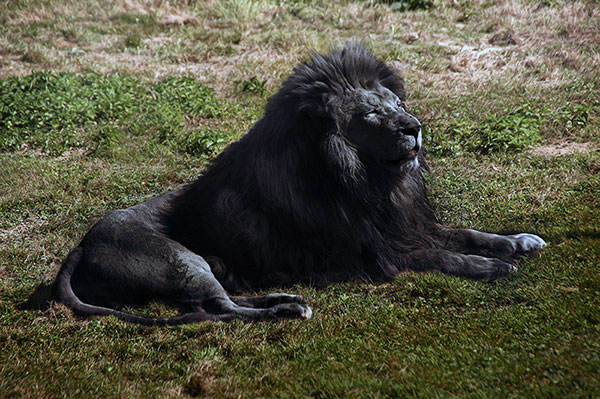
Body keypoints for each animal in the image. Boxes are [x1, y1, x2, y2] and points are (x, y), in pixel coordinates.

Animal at [52, 43, 544, 324]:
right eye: (371, 114)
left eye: (399, 104)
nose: (415, 127)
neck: (373, 183)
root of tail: (81, 244)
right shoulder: (376, 254)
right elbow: (442, 257)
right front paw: (491, 267)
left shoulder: (407, 226)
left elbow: (467, 233)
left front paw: (519, 241)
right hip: (179, 260)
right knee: (221, 309)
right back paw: (291, 308)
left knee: (224, 298)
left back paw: (287, 295)